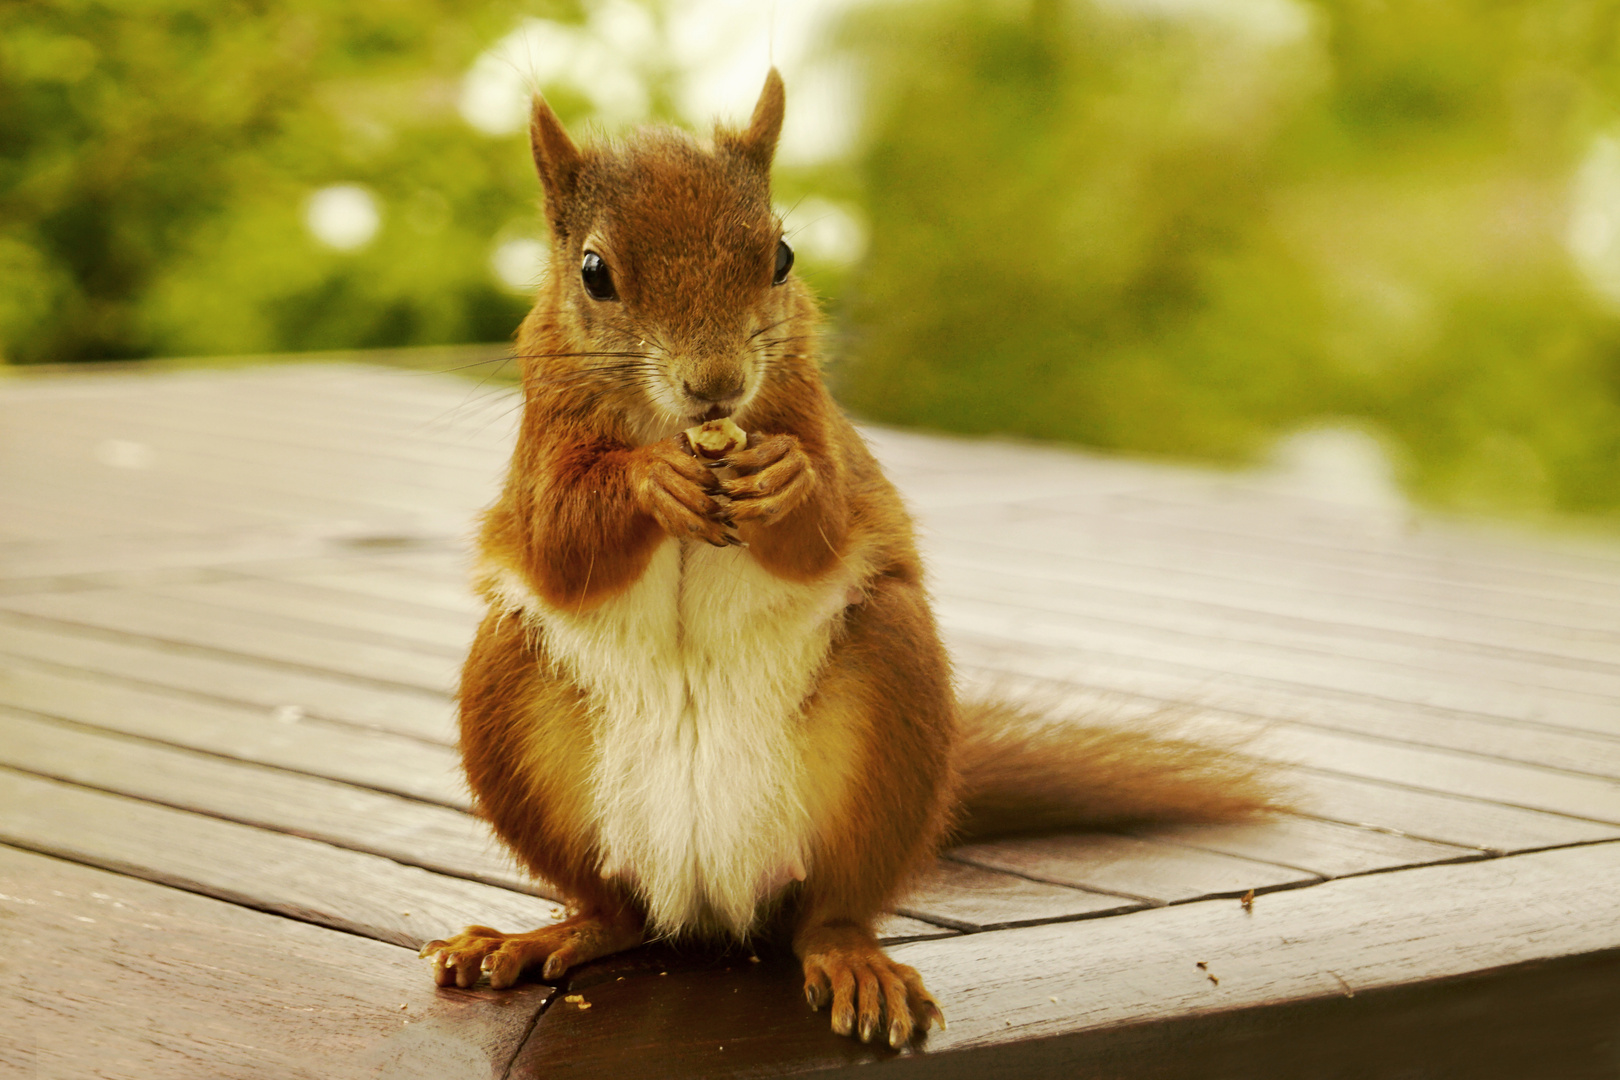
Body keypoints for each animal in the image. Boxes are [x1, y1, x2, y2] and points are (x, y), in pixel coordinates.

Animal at [421, 67, 1276, 1049]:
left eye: (782, 257)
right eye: (595, 273)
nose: (717, 385)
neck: (678, 424)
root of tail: (712, 903)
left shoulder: (818, 422)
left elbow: (825, 525)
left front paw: (785, 482)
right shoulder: (542, 446)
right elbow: (561, 538)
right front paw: (653, 478)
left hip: (889, 712)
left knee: (829, 911)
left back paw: (853, 961)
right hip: (508, 701)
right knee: (616, 910)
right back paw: (535, 938)